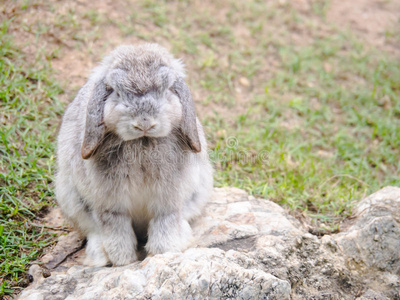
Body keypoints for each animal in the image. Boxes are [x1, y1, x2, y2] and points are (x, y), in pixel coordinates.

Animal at [55, 43, 216, 266]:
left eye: (167, 89)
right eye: (116, 92)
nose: (144, 123)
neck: (142, 142)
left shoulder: (168, 202)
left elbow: (164, 224)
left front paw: (160, 254)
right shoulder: (110, 205)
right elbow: (116, 230)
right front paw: (124, 261)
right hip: (71, 200)